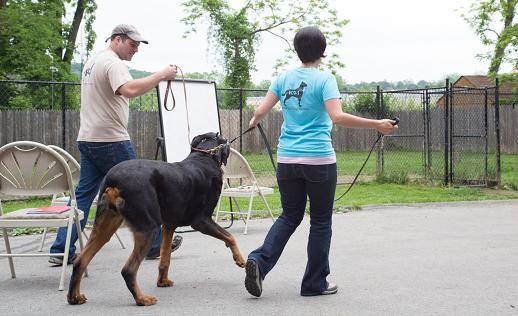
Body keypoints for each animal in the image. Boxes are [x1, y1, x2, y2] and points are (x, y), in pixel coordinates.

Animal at [67, 133, 248, 306]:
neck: (204, 156)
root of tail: (114, 181)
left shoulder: (169, 225)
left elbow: (165, 257)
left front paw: (162, 281)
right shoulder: (201, 221)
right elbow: (230, 236)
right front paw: (240, 259)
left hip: (105, 226)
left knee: (80, 260)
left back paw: (74, 297)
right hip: (149, 228)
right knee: (128, 270)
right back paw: (142, 299)